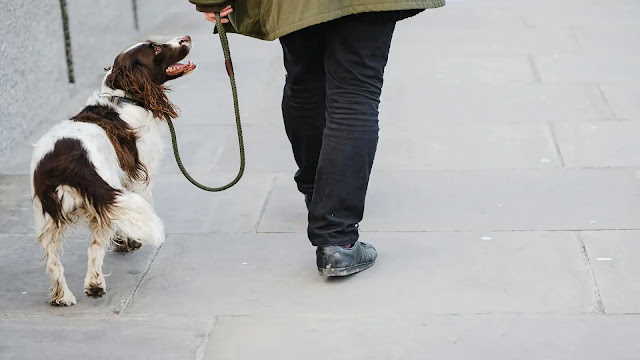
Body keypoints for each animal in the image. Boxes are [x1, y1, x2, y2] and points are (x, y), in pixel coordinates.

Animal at [30, 35, 195, 306]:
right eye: (156, 48)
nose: (187, 37)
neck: (123, 97)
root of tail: (66, 161)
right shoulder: (137, 176)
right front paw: (131, 241)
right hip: (101, 193)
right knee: (95, 248)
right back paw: (95, 285)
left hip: (47, 217)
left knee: (53, 261)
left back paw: (62, 297)